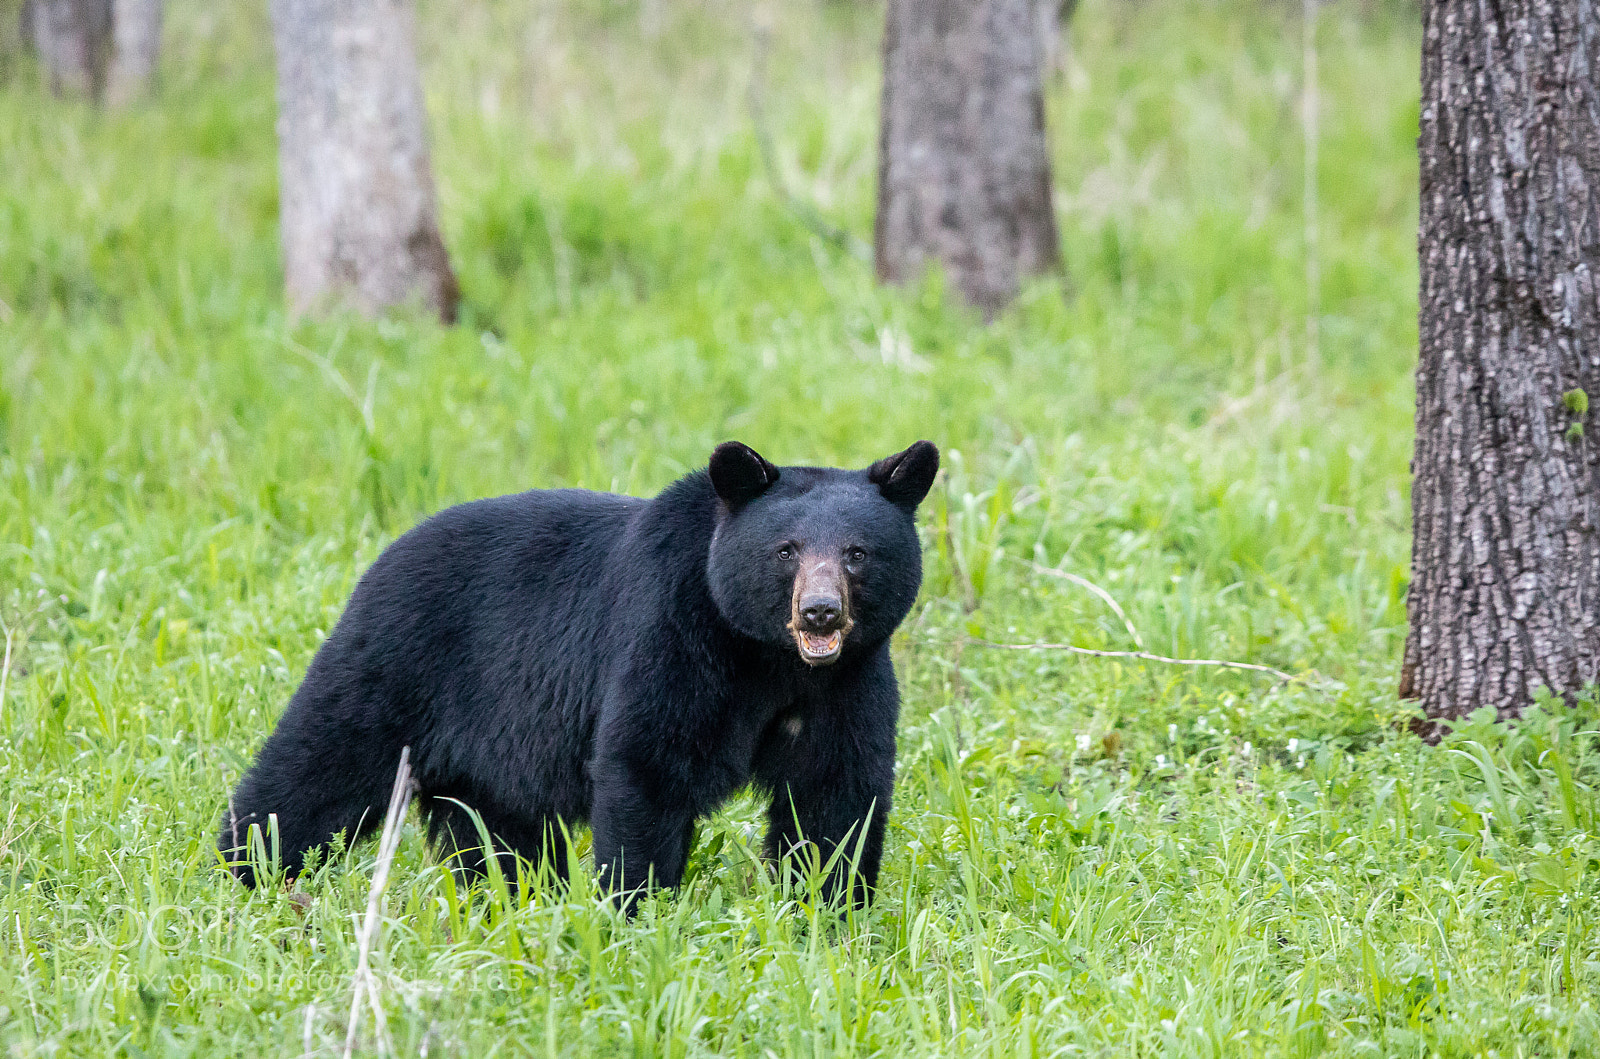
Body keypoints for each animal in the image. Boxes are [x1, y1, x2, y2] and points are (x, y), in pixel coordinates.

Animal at [219, 440, 939, 910]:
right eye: (785, 550)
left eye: (857, 553)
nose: (820, 611)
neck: (769, 658)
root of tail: (383, 552)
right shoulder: (672, 636)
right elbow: (647, 766)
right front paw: (633, 911)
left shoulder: (848, 680)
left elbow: (834, 794)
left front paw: (830, 914)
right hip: (397, 663)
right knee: (317, 765)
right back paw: (243, 872)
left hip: (490, 749)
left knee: (497, 834)